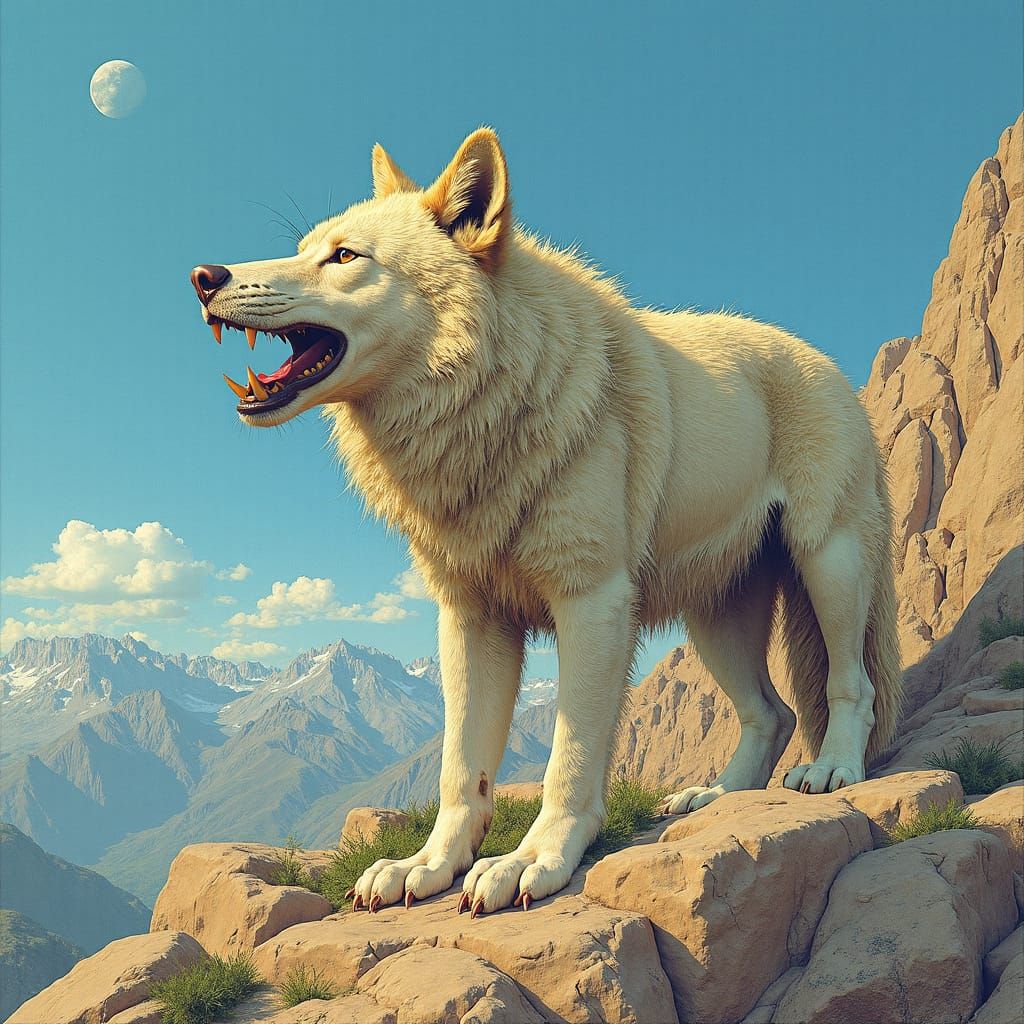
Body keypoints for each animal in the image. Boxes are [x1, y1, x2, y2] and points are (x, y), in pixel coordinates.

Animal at [190, 128, 901, 915]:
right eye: (305, 247)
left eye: (345, 257)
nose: (203, 276)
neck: (493, 400)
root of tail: (825, 361)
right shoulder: (472, 618)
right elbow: (460, 766)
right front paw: (427, 866)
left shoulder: (592, 604)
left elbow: (571, 754)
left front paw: (531, 862)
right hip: (714, 617)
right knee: (771, 713)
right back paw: (715, 798)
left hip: (829, 563)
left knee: (851, 682)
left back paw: (833, 771)